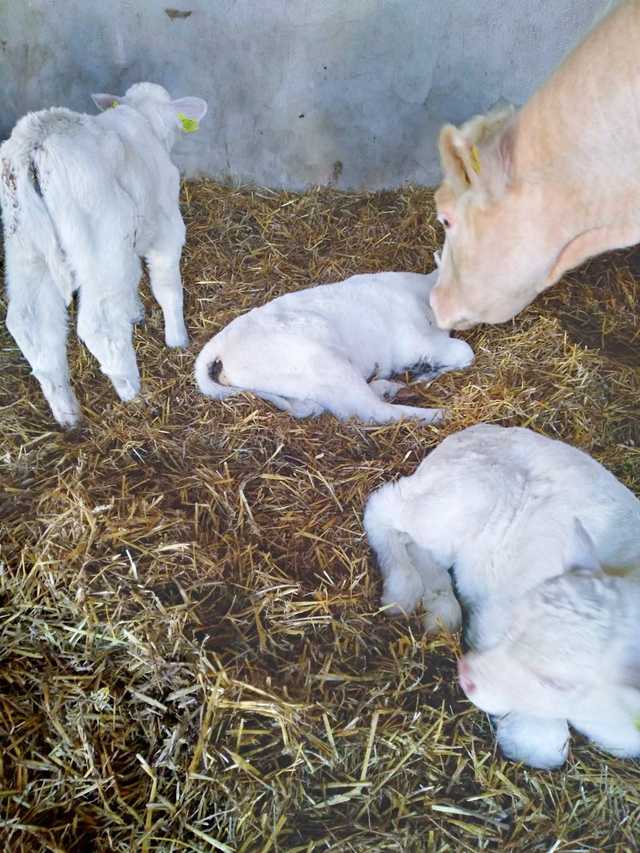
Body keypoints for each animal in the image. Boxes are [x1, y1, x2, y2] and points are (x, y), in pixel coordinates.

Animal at [0, 80, 208, 426]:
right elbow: (167, 288)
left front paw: (136, 313)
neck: (142, 118)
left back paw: (68, 413)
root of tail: (34, 141)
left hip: (24, 247)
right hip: (102, 241)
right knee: (97, 324)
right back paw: (132, 391)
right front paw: (178, 340)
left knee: (28, 322)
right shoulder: (166, 225)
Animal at [192, 272, 472, 424]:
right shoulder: (413, 339)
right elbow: (465, 351)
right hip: (325, 363)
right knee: (370, 411)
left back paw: (388, 388)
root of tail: (218, 344)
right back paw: (439, 414)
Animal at [362, 424, 640, 764]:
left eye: (558, 682)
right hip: (464, 497)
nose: (467, 675)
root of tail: (477, 430)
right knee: (382, 507)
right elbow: (548, 747)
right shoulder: (492, 617)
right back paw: (401, 590)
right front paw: (517, 732)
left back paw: (440, 609)